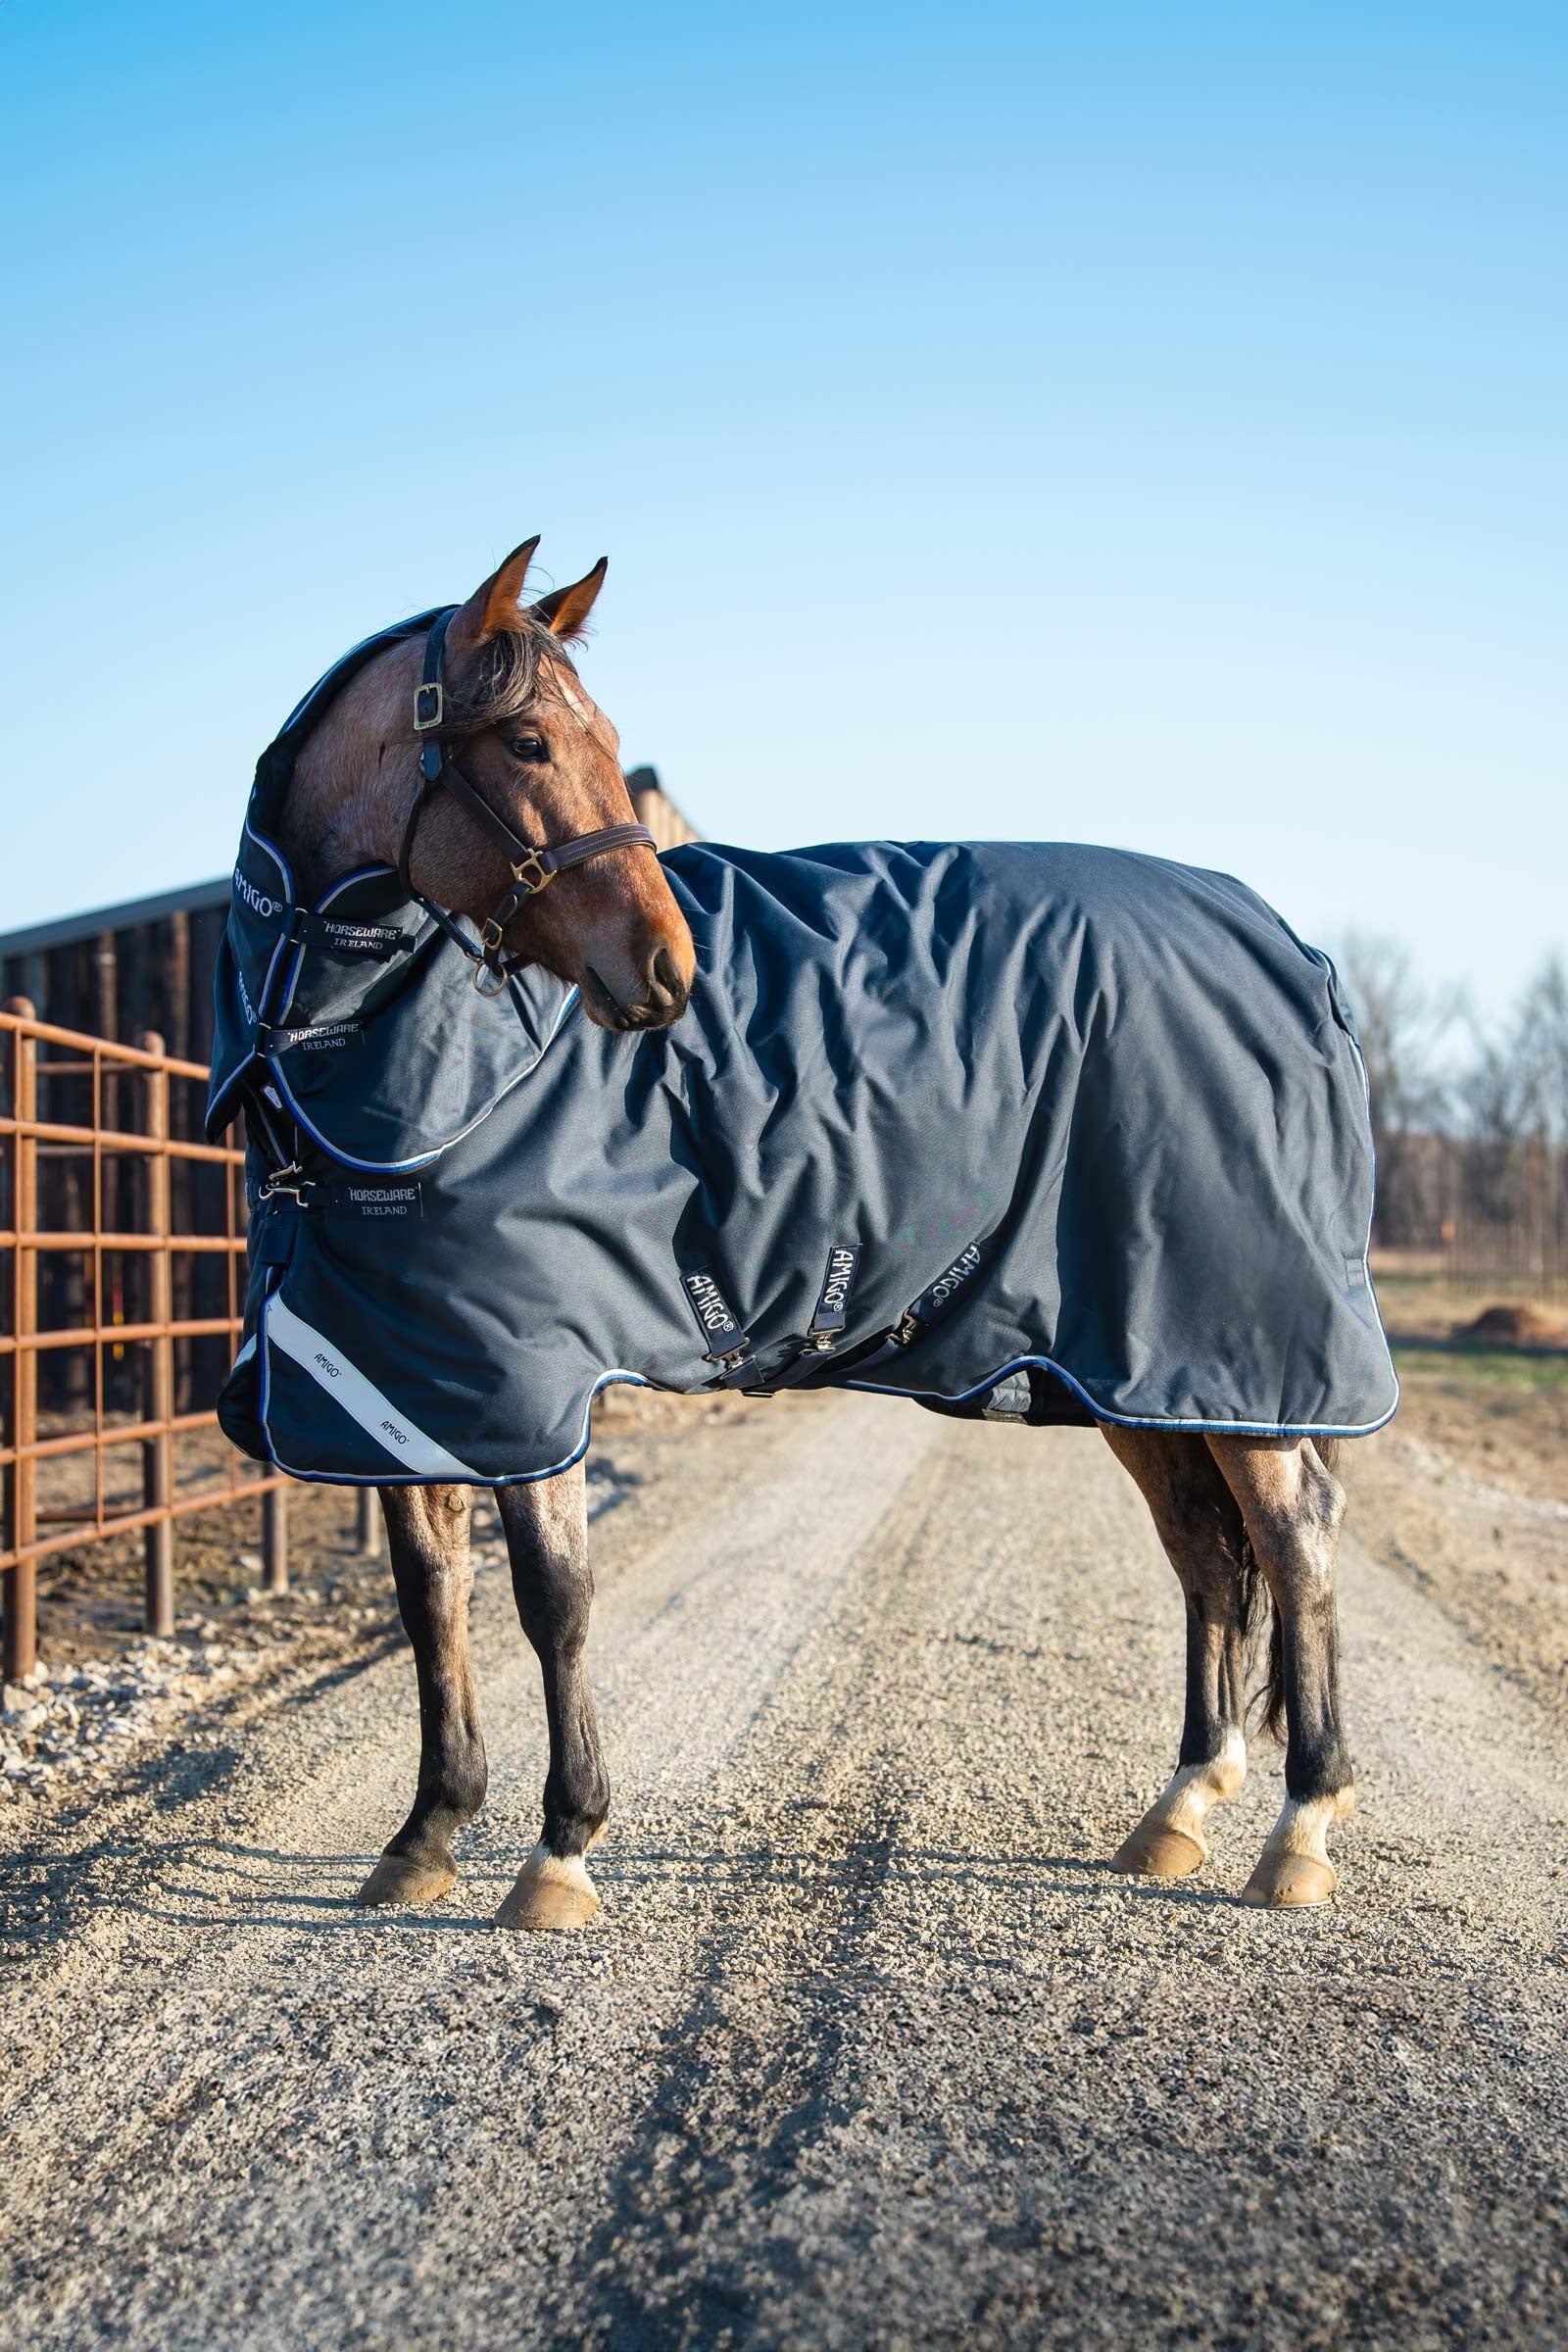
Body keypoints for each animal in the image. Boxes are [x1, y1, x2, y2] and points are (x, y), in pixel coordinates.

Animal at [248, 533, 1371, 1929]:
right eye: (524, 741)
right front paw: (426, 1831)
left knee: (1297, 1536)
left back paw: (1300, 1826)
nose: (667, 972)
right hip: (1136, 1370)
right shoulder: (406, 1378)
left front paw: (561, 1849)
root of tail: (1294, 953)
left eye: (603, 739)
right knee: (1208, 1556)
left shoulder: (531, 1375)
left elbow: (554, 1600)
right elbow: (430, 1600)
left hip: (1233, 1345)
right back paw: (1181, 1805)